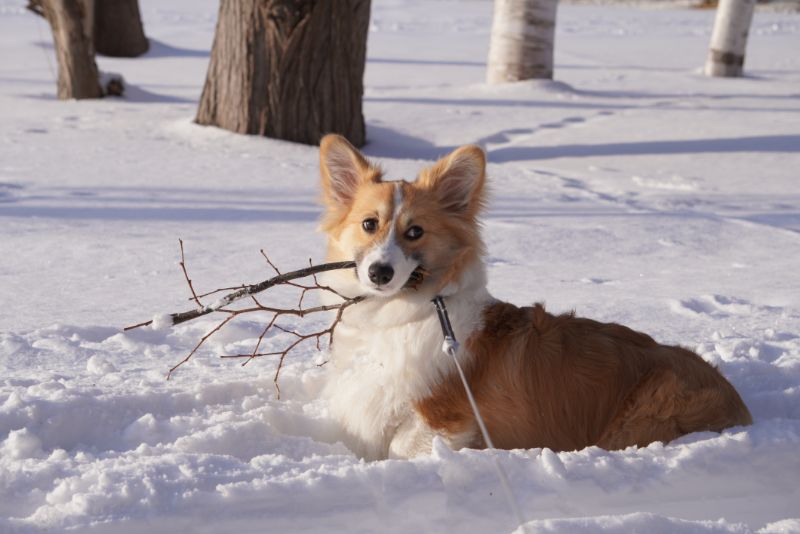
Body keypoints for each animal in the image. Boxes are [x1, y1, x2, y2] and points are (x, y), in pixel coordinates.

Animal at [316, 135, 752, 464]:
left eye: (415, 232)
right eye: (369, 224)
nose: (380, 273)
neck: (404, 313)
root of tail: (737, 402)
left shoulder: (444, 419)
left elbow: (401, 445)